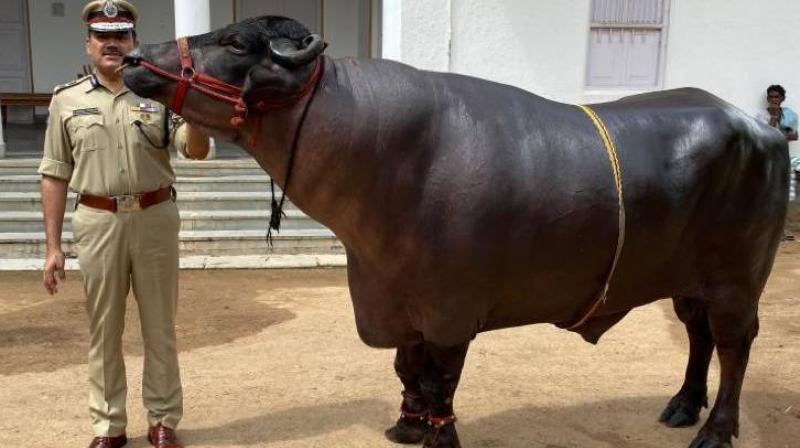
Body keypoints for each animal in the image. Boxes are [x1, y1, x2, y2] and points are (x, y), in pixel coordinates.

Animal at [122, 16, 789, 448]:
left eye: (234, 41)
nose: (132, 59)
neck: (386, 159)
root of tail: (759, 127)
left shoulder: (450, 311)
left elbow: (440, 381)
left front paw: (437, 435)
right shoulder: (395, 302)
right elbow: (406, 370)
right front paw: (405, 426)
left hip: (738, 282)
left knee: (735, 346)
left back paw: (716, 431)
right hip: (689, 281)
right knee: (699, 337)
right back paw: (681, 406)